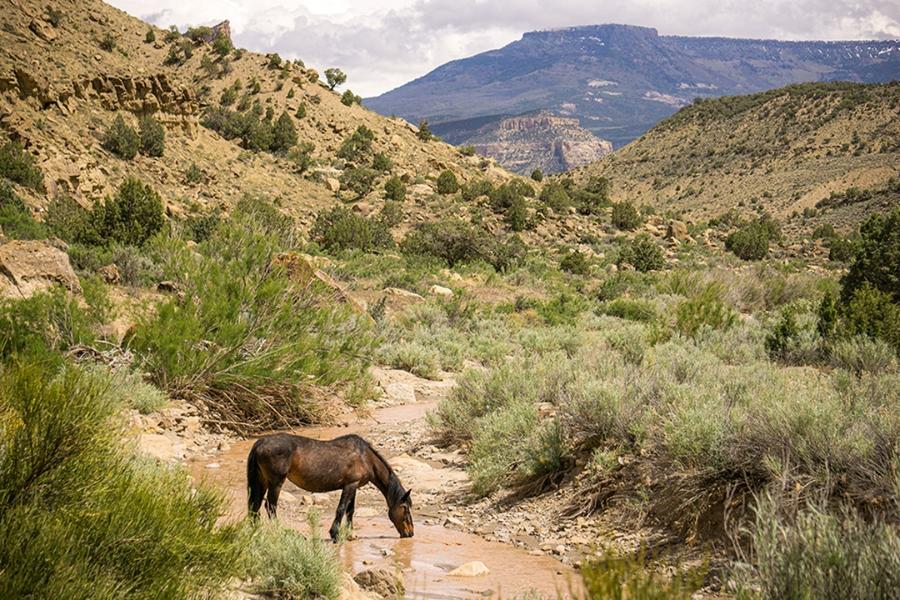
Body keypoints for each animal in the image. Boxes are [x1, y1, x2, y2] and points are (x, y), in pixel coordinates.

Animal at [246, 432, 413, 541]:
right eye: (405, 508)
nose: (410, 533)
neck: (365, 458)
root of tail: (260, 442)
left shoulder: (353, 486)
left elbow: (350, 511)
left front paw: (350, 535)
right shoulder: (350, 485)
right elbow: (341, 509)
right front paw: (335, 534)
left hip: (262, 482)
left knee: (255, 506)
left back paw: (256, 531)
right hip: (276, 483)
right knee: (270, 506)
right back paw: (279, 532)